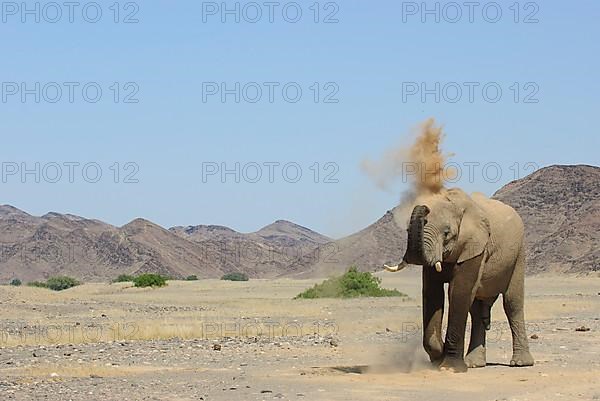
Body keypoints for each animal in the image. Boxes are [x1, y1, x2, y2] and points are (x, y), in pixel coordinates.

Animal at [384, 188, 536, 372]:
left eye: (447, 233)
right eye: (407, 230)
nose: (424, 208)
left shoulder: (476, 247)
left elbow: (458, 292)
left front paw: (450, 367)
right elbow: (433, 294)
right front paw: (439, 357)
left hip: (519, 254)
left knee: (512, 304)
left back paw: (521, 363)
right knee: (476, 311)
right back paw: (474, 364)